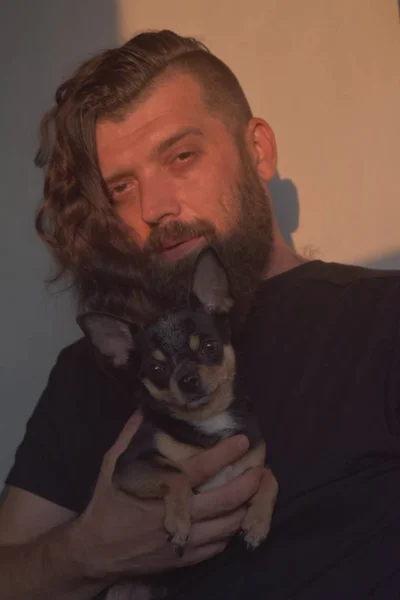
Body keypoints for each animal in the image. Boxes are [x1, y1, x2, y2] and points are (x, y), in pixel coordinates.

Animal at [77, 245, 278, 600]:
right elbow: (178, 473)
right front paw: (180, 524)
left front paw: (257, 523)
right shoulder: (129, 466)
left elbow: (270, 476)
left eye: (210, 347)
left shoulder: (251, 463)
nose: (187, 379)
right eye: (156, 370)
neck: (208, 419)